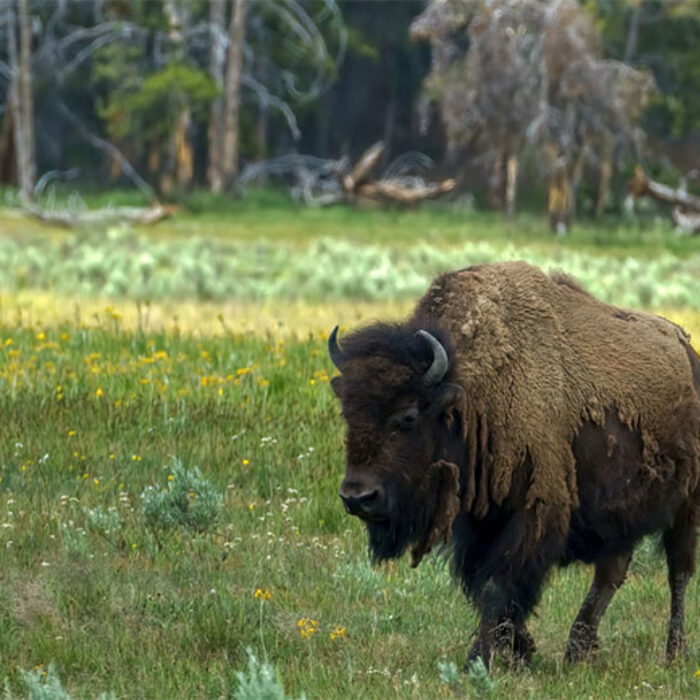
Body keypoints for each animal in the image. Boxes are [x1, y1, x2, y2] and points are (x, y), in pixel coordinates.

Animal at [328, 261, 700, 668]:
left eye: (407, 417)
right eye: (348, 413)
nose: (357, 497)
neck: (470, 393)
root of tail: (687, 348)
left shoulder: (532, 512)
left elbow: (498, 583)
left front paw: (479, 660)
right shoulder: (478, 523)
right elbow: (481, 585)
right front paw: (521, 651)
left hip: (686, 505)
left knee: (678, 572)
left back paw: (674, 652)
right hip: (622, 511)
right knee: (612, 571)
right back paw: (578, 651)